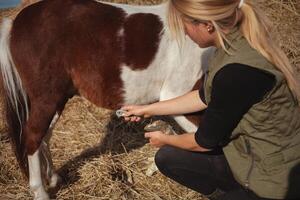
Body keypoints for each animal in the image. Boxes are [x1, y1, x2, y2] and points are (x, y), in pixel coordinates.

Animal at [0, 0, 212, 198]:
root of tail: (16, 23)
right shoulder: (180, 97)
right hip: (47, 99)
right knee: (33, 136)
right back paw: (40, 192)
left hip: (57, 99)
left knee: (45, 137)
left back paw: (53, 179)